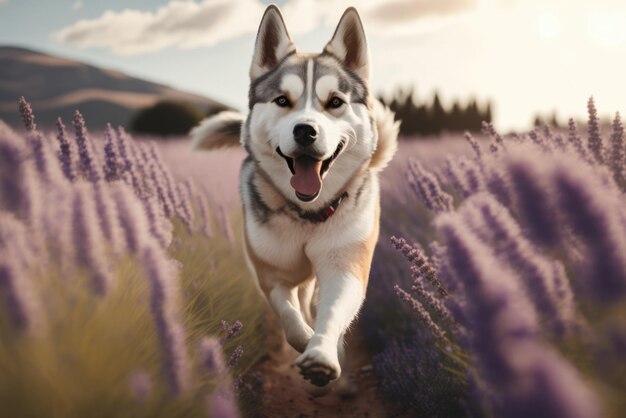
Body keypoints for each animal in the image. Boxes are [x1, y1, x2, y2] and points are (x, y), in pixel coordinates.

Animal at [190, 5, 398, 388]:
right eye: (283, 101)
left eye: (335, 102)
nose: (305, 131)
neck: (308, 214)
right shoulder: (272, 272)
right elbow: (288, 316)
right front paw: (305, 342)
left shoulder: (345, 264)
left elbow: (331, 312)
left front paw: (323, 355)